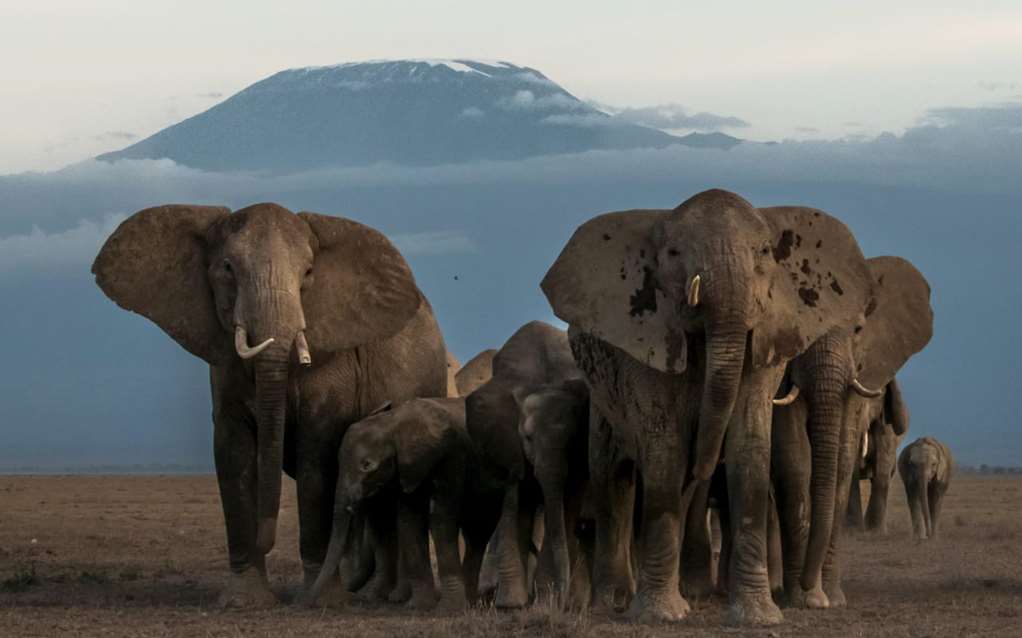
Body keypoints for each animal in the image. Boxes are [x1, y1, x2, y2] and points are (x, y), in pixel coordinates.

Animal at [91, 203, 447, 607]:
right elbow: (232, 453)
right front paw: (244, 599)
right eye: (227, 268)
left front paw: (318, 600)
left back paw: (387, 597)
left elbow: (316, 458)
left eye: (308, 273)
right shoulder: (222, 363)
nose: (267, 542)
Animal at [302, 397, 501, 610]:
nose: (307, 603)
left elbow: (441, 518)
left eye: (367, 465)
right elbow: (409, 520)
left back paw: (471, 602)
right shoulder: (407, 470)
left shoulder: (451, 457)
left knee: (478, 531)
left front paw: (448, 609)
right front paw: (419, 606)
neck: (393, 423)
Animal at [464, 320, 582, 609]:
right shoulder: (504, 441)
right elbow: (514, 499)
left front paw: (544, 600)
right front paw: (510, 603)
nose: (563, 602)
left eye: (572, 439)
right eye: (526, 437)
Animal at [541, 189, 876, 624]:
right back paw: (612, 601)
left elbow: (749, 449)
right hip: (600, 397)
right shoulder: (649, 338)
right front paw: (662, 616)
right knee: (612, 477)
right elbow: (665, 448)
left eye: (764, 251)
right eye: (672, 253)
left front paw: (758, 617)